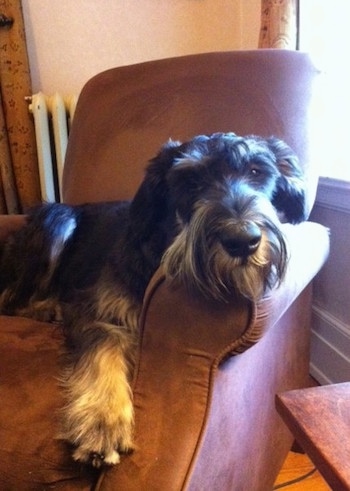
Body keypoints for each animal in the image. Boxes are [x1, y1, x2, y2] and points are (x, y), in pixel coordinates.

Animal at [0, 132, 306, 468]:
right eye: (191, 181)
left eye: (256, 171)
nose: (242, 240)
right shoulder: (96, 312)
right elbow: (104, 348)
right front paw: (103, 421)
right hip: (56, 220)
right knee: (10, 298)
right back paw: (47, 307)